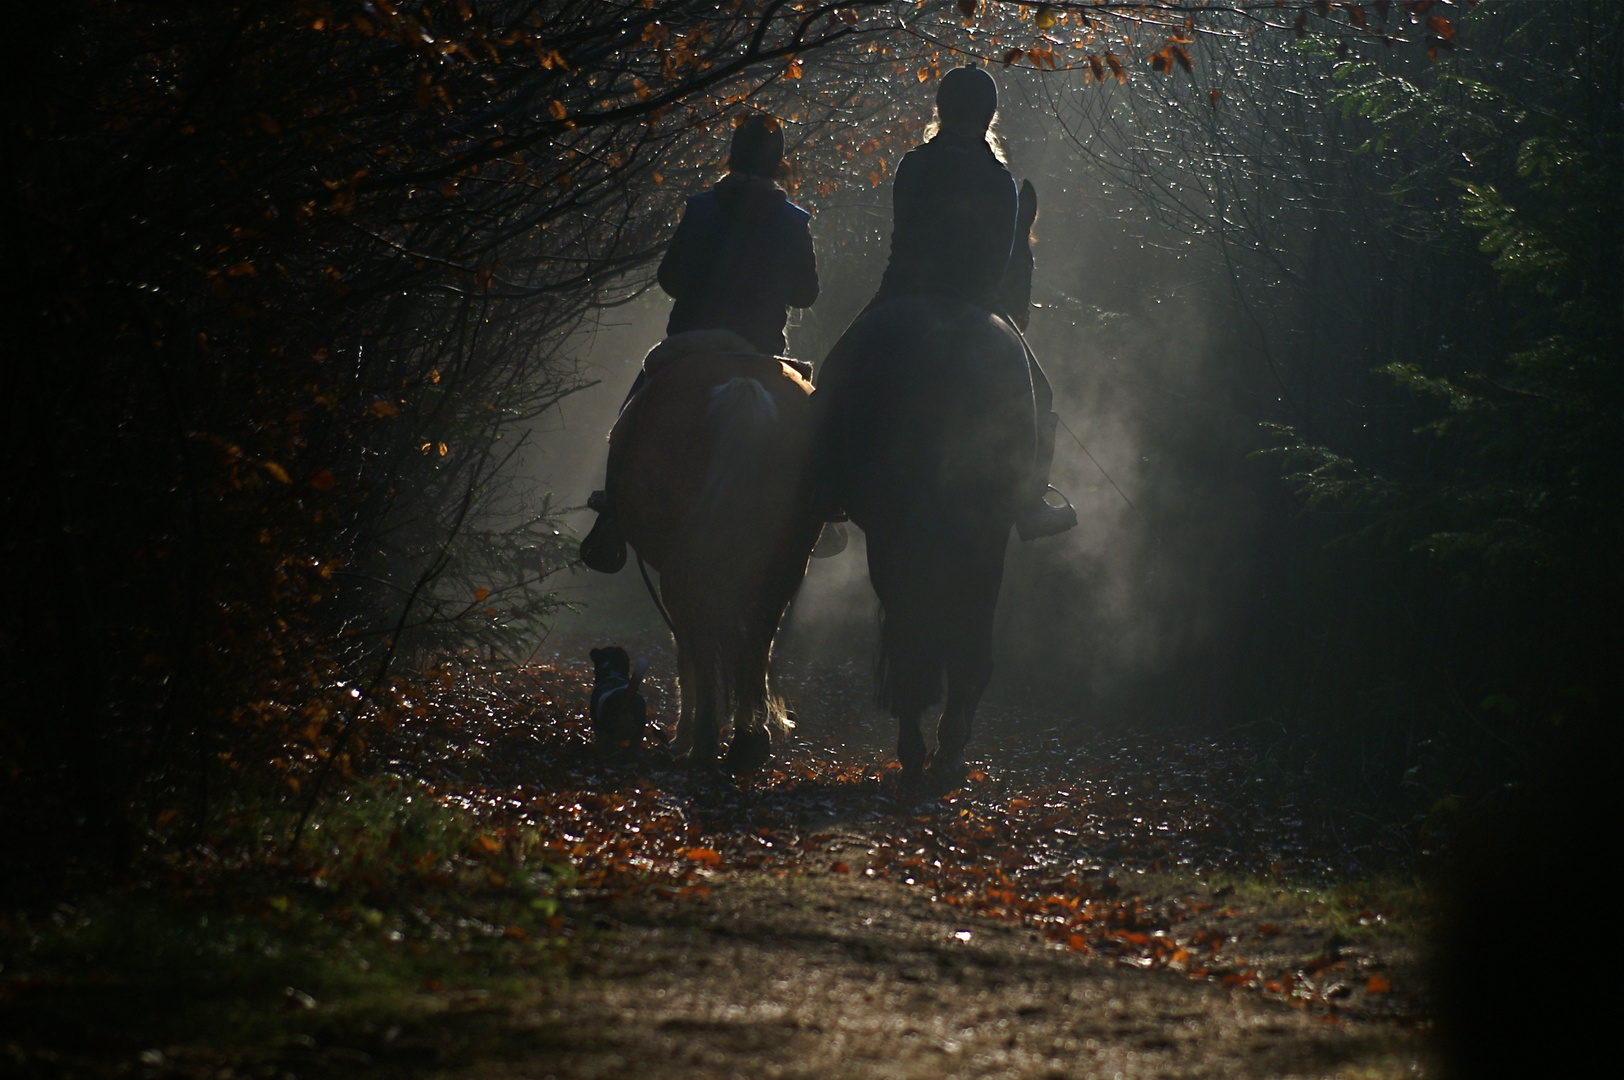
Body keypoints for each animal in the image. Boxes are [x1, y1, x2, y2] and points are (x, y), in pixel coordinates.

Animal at [607, 328, 824, 766]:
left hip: (685, 563)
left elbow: (685, 652)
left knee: (700, 636)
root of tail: (743, 385)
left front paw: (682, 736)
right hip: (786, 563)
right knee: (759, 637)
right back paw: (749, 740)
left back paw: (702, 741)